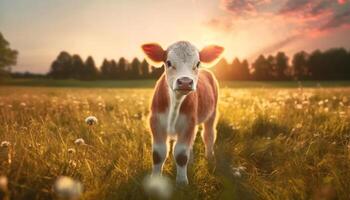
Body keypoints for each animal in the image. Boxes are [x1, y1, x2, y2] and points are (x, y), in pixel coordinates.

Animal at [141, 40, 223, 184]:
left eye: (197, 63)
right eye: (168, 62)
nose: (185, 82)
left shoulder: (188, 123)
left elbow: (181, 154)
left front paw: (181, 182)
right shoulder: (155, 122)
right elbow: (158, 154)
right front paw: (155, 180)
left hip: (212, 113)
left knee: (209, 135)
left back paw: (210, 158)